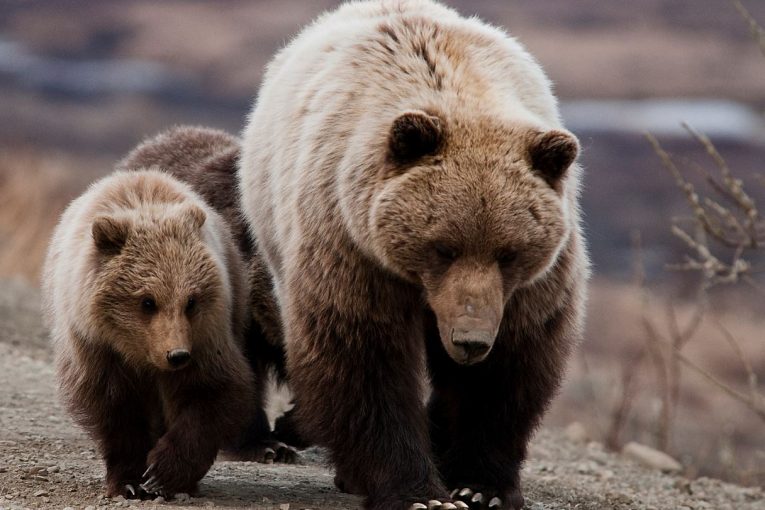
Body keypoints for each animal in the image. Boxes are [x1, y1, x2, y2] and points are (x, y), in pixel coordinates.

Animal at [44, 169, 258, 496]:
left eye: (191, 301)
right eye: (147, 301)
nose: (177, 355)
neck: (139, 352)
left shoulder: (206, 337)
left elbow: (210, 392)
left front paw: (164, 473)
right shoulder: (97, 347)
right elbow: (115, 409)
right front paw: (130, 481)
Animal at [239, 0, 592, 510]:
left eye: (509, 252)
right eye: (443, 246)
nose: (470, 341)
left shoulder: (530, 285)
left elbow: (511, 365)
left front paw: (480, 485)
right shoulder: (352, 245)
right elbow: (365, 359)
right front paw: (419, 492)